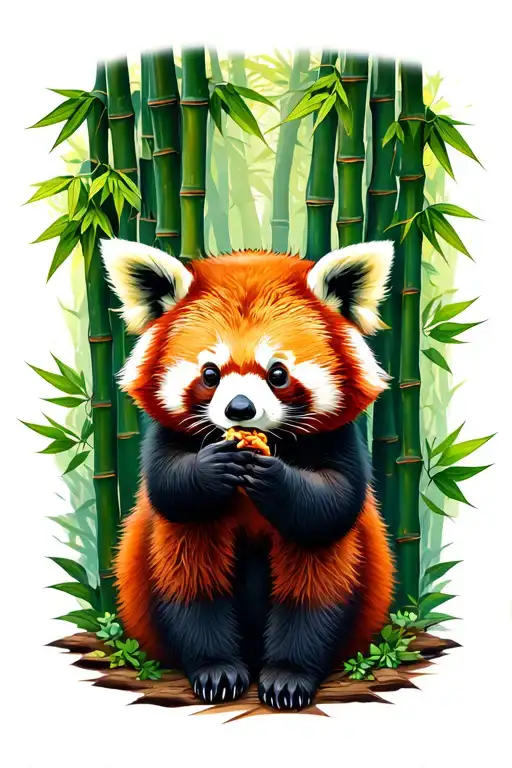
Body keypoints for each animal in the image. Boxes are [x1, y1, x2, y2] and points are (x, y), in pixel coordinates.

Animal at [100, 238, 395, 711]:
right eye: (210, 373)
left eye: (277, 373)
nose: (240, 409)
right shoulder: (166, 439)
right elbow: (169, 488)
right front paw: (214, 466)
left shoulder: (338, 440)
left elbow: (332, 504)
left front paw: (274, 476)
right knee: (190, 580)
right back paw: (215, 669)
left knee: (317, 588)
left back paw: (289, 676)